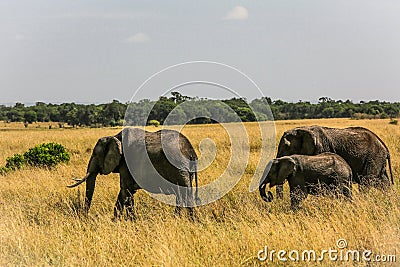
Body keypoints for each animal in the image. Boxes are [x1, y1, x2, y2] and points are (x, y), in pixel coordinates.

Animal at [68, 128, 202, 220]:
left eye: (95, 154)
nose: (84, 217)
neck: (114, 137)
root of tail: (191, 152)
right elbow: (125, 191)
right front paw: (117, 221)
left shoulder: (126, 163)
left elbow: (125, 190)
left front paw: (129, 221)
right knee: (181, 194)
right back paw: (178, 218)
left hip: (178, 167)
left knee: (185, 193)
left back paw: (192, 221)